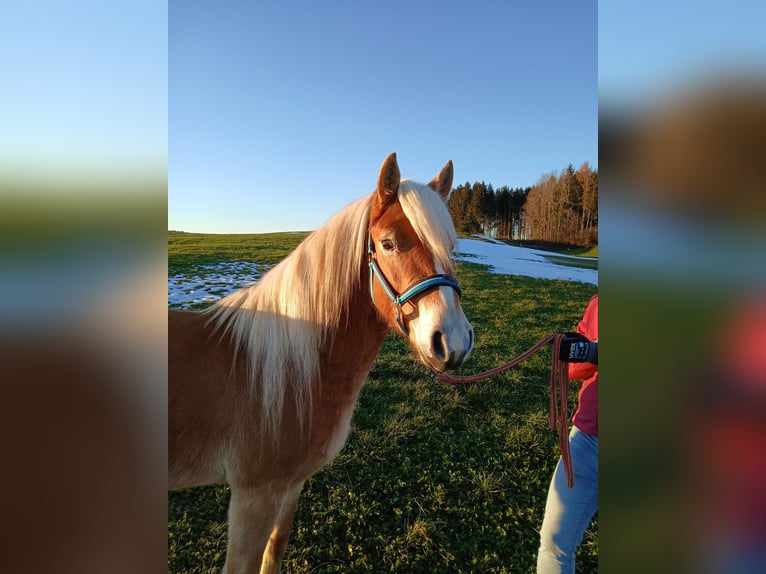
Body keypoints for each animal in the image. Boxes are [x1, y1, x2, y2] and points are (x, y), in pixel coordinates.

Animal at [168, 154, 474, 574]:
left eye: (450, 247)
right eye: (388, 244)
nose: (453, 342)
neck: (288, 373)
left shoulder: (289, 487)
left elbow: (275, 550)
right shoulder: (254, 495)